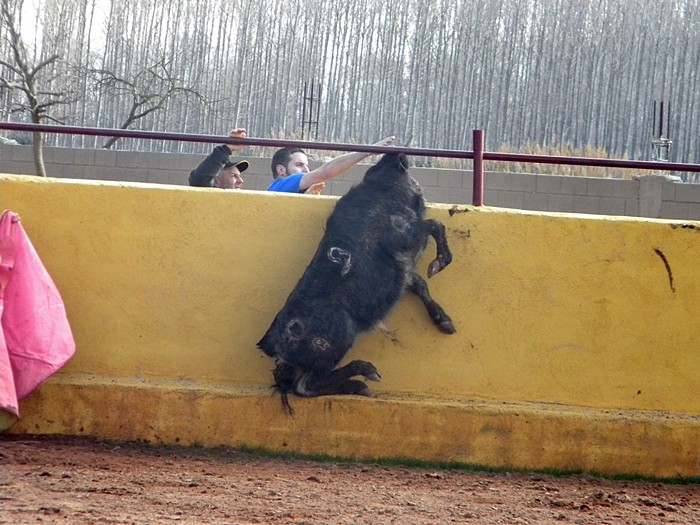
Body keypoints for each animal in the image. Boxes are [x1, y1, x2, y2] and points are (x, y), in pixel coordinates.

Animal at [258, 154, 454, 412]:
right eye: (410, 175)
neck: (384, 191)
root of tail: (272, 342)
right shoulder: (404, 237)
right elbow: (435, 225)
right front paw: (439, 263)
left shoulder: (403, 272)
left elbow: (421, 284)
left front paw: (444, 321)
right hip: (339, 339)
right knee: (305, 386)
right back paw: (364, 375)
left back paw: (358, 384)